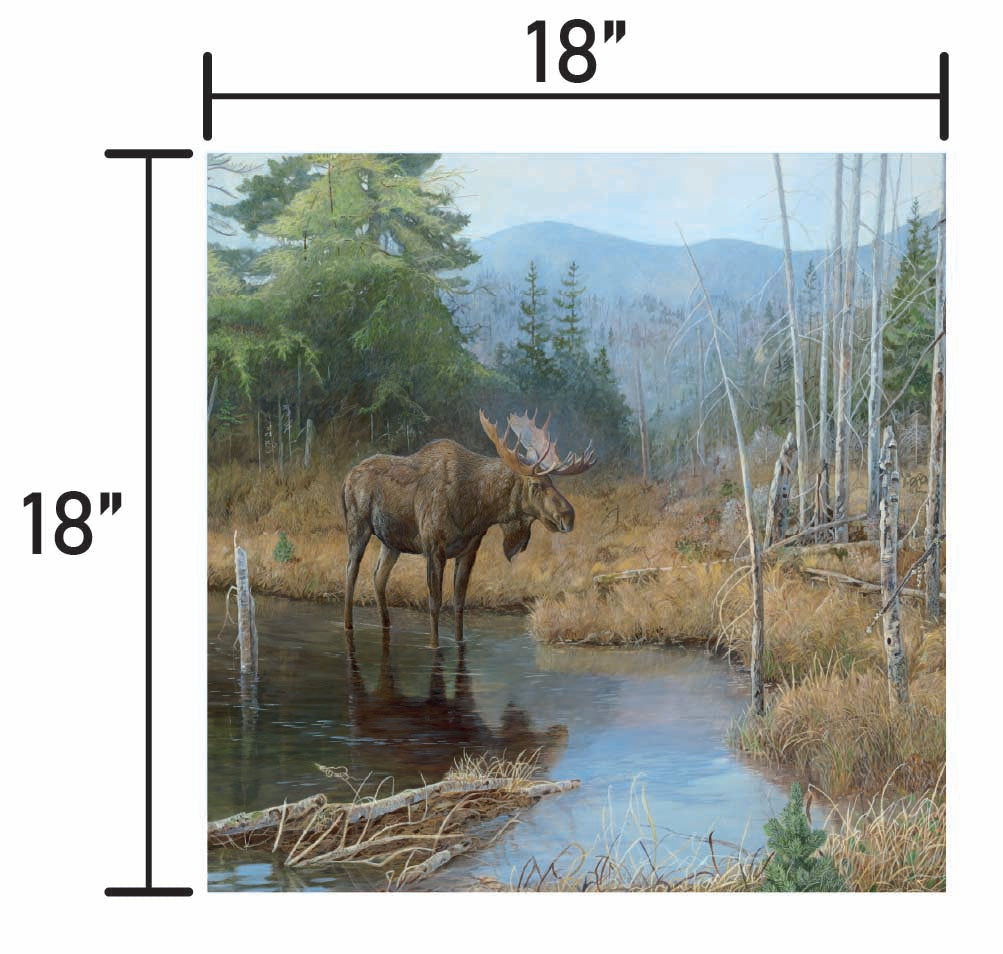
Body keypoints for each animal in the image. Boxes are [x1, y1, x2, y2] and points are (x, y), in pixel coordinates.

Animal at [341, 409, 597, 646]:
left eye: (552, 481)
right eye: (536, 484)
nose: (568, 516)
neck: (478, 509)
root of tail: (347, 477)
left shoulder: (469, 550)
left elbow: (459, 602)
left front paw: (459, 641)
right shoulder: (434, 548)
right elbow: (435, 603)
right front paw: (434, 645)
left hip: (391, 542)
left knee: (378, 576)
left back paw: (386, 625)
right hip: (358, 526)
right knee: (351, 571)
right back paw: (348, 626)